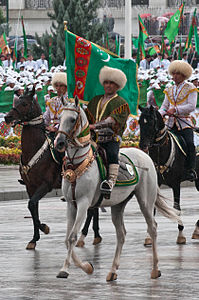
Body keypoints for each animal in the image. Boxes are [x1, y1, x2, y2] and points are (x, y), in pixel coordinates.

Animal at [4, 88, 101, 250]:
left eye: (24, 104)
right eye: (16, 101)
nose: (7, 117)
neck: (34, 149)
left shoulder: (46, 185)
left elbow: (31, 205)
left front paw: (44, 228)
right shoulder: (30, 187)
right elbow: (33, 208)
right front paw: (34, 238)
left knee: (92, 209)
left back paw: (88, 234)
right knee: (94, 208)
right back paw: (95, 234)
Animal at [54, 98, 182, 282]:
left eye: (72, 119)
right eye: (59, 117)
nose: (59, 142)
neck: (77, 165)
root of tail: (144, 154)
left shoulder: (84, 203)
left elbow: (72, 237)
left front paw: (73, 268)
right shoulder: (71, 205)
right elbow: (66, 239)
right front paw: (82, 267)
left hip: (145, 201)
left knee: (153, 228)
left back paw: (155, 269)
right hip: (118, 205)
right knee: (121, 234)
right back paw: (113, 271)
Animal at [138, 105, 199, 244]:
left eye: (150, 122)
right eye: (139, 122)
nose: (142, 145)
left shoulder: (176, 184)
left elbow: (177, 208)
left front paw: (181, 235)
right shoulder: (156, 183)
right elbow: (153, 209)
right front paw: (149, 236)